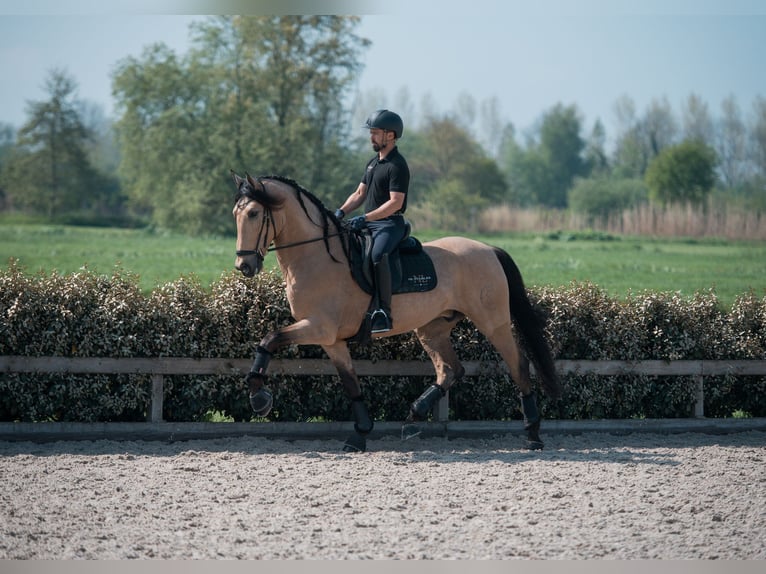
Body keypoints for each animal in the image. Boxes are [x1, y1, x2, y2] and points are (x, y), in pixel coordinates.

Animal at [231, 172, 561, 452]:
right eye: (236, 214)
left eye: (254, 214)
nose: (244, 266)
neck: (316, 257)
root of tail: (489, 249)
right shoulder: (331, 340)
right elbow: (350, 383)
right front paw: (360, 435)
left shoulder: (318, 327)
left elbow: (269, 339)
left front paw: (259, 398)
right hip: (432, 328)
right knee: (451, 370)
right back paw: (414, 417)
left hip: (493, 323)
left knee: (518, 366)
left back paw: (533, 434)